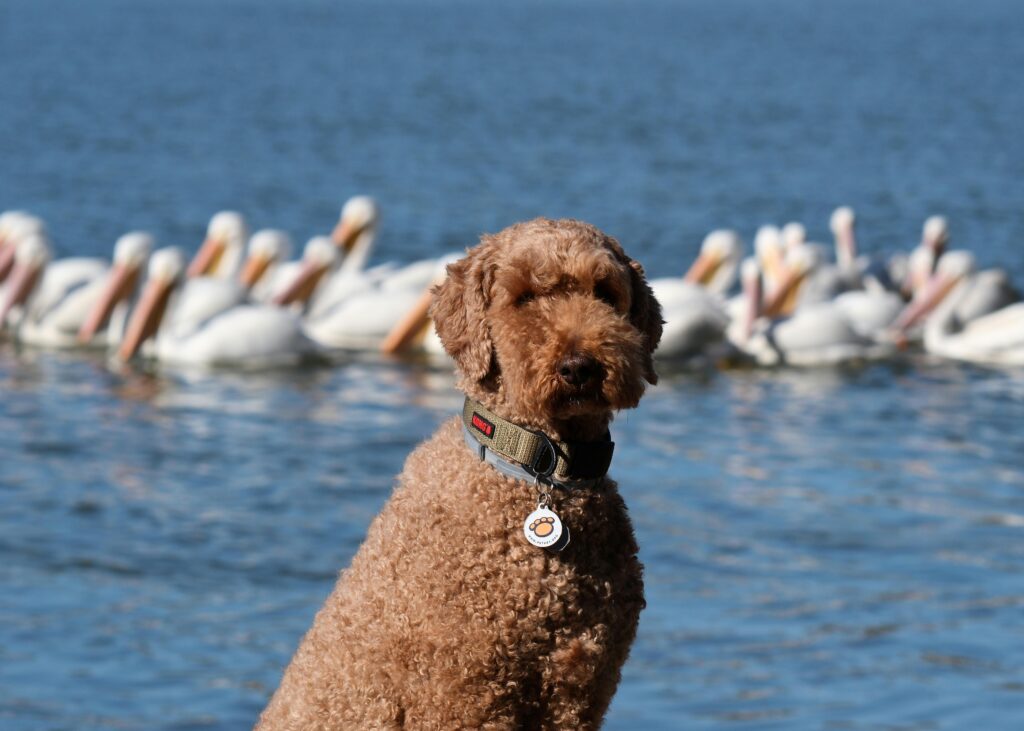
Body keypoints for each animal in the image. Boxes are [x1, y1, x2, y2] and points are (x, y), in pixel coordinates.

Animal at [256, 218, 663, 728]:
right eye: (523, 298)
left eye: (605, 293)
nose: (579, 367)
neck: (539, 469)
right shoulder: (462, 691)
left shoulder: (579, 687)